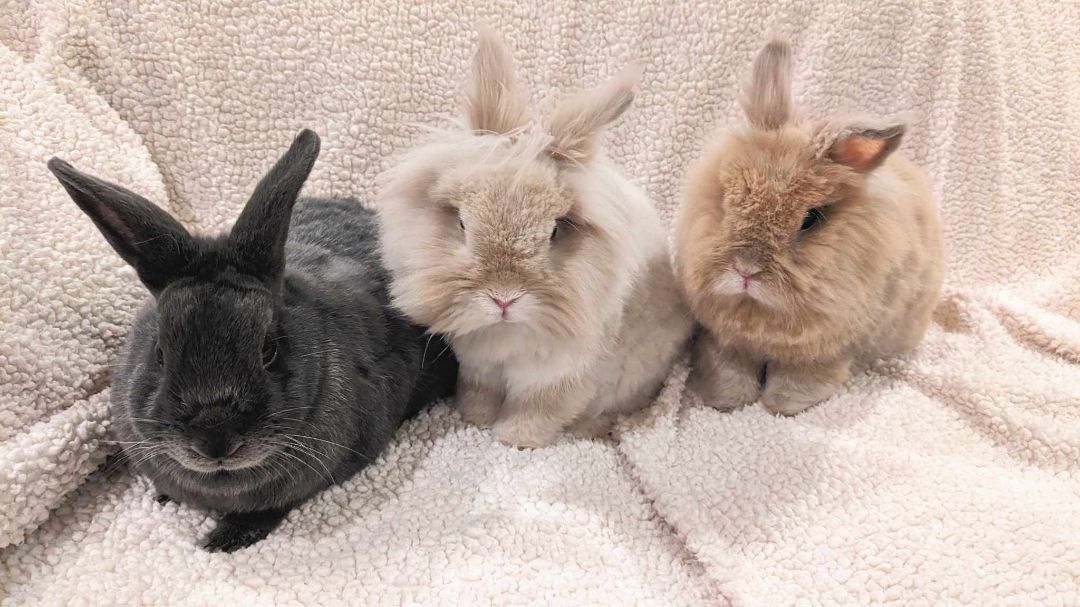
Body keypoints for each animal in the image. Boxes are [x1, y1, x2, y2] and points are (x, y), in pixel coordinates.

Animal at [678, 40, 941, 412]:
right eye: (727, 199)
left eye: (811, 219)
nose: (746, 271)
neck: (760, 315)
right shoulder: (726, 342)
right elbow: (729, 370)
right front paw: (726, 400)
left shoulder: (823, 352)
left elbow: (800, 379)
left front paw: (781, 405)